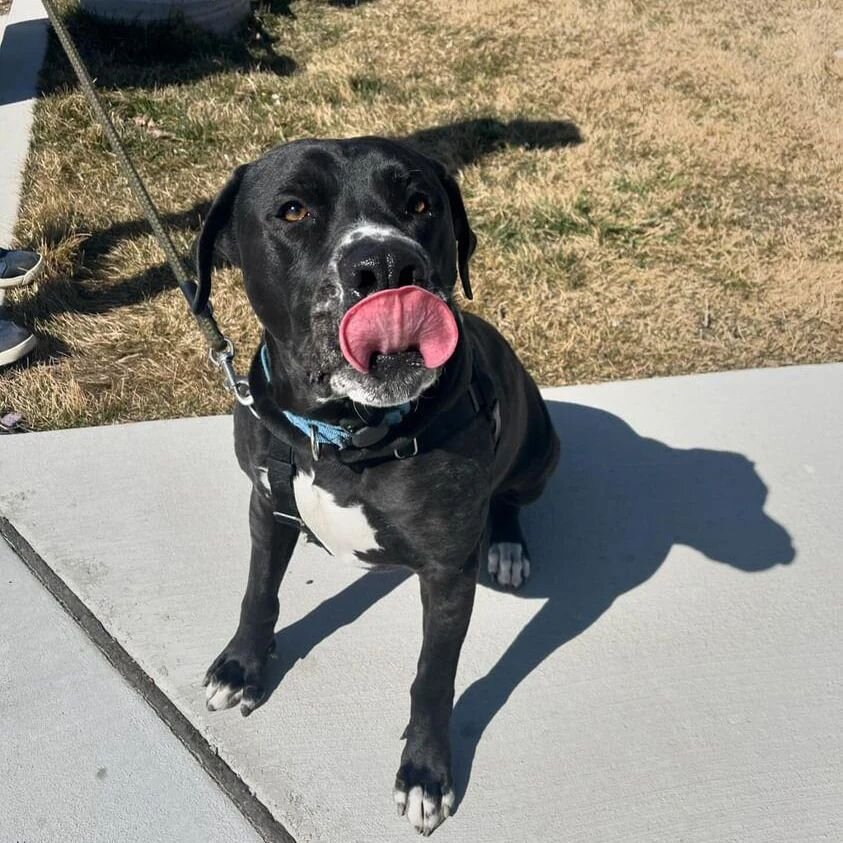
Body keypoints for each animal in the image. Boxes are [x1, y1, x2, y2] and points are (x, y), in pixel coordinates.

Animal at [198, 138, 560, 836]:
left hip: (540, 454)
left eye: (420, 204)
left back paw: (507, 546)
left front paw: (425, 773)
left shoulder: (447, 570)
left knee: (509, 499)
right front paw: (242, 666)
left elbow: (433, 676)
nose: (388, 262)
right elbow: (259, 592)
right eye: (292, 210)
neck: (345, 435)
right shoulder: (267, 505)